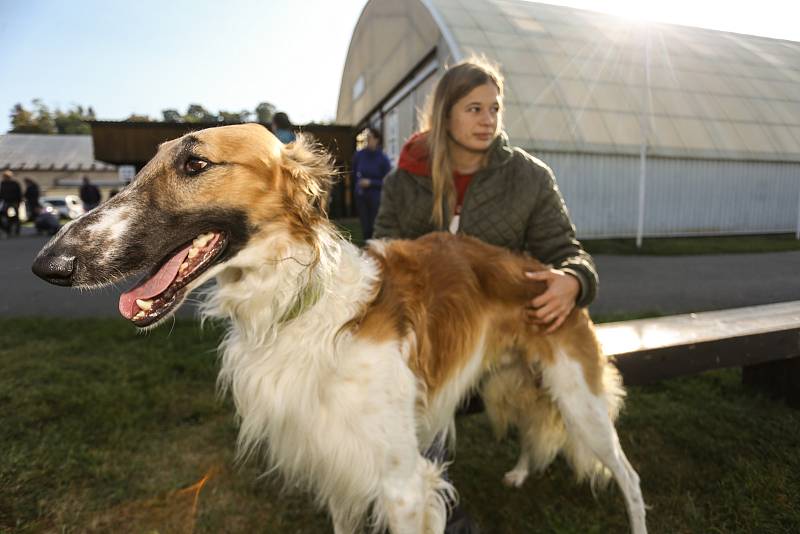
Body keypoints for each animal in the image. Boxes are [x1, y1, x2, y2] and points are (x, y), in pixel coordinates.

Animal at [31, 123, 648, 532]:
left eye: (195, 165)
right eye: (143, 165)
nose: (48, 265)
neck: (302, 311)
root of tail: (550, 273)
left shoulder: (404, 486)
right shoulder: (335, 465)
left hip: (581, 400)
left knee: (629, 476)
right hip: (513, 379)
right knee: (532, 429)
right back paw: (520, 472)